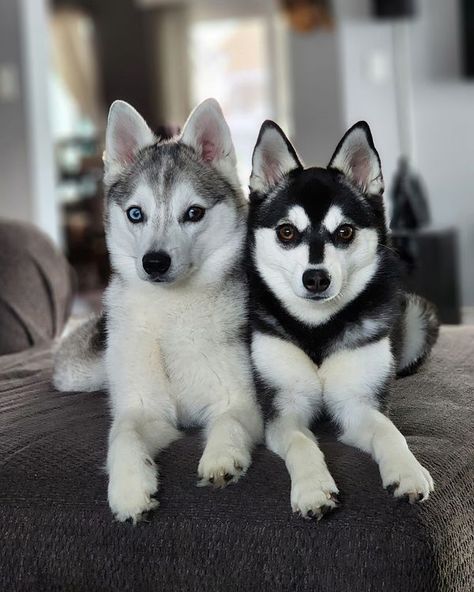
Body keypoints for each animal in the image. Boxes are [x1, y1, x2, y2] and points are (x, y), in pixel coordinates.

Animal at [56, 98, 264, 524]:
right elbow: (123, 435)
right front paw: (130, 487)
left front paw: (222, 456)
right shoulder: (144, 409)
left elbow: (231, 420)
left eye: (194, 213)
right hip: (77, 374)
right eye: (136, 213)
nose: (154, 262)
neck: (171, 312)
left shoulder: (241, 401)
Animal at [248, 119, 436, 520]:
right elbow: (301, 441)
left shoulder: (357, 404)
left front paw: (408, 471)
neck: (318, 328)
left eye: (345, 231)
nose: (316, 278)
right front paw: (313, 489)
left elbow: (390, 431)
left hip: (417, 316)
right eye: (287, 231)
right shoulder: (284, 408)